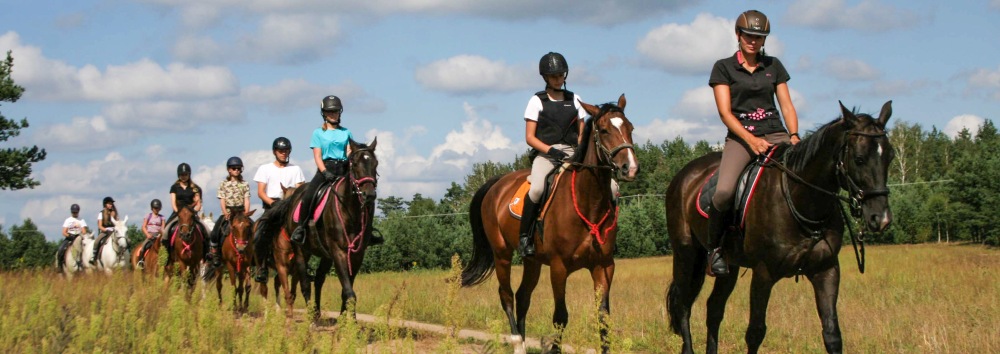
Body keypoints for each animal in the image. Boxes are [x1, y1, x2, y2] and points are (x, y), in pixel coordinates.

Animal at [258, 138, 378, 318]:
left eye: (376, 163)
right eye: (355, 164)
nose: (368, 195)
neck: (350, 211)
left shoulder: (357, 254)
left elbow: (347, 291)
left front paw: (346, 320)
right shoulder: (338, 252)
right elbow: (349, 292)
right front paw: (350, 323)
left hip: (324, 255)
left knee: (318, 280)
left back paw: (316, 313)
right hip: (300, 253)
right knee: (304, 285)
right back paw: (309, 317)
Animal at [462, 94, 636, 354]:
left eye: (630, 128)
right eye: (604, 130)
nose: (630, 168)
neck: (588, 202)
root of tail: (498, 183)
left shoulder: (603, 265)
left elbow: (603, 318)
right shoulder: (558, 267)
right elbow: (560, 316)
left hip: (532, 260)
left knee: (523, 296)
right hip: (501, 254)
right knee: (506, 295)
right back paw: (518, 343)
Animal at [668, 101, 896, 352]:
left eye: (890, 157)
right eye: (859, 158)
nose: (881, 218)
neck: (802, 200)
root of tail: (684, 175)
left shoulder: (826, 270)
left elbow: (832, 334)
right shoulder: (763, 273)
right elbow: (755, 333)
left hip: (729, 266)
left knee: (714, 308)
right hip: (686, 255)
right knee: (683, 305)